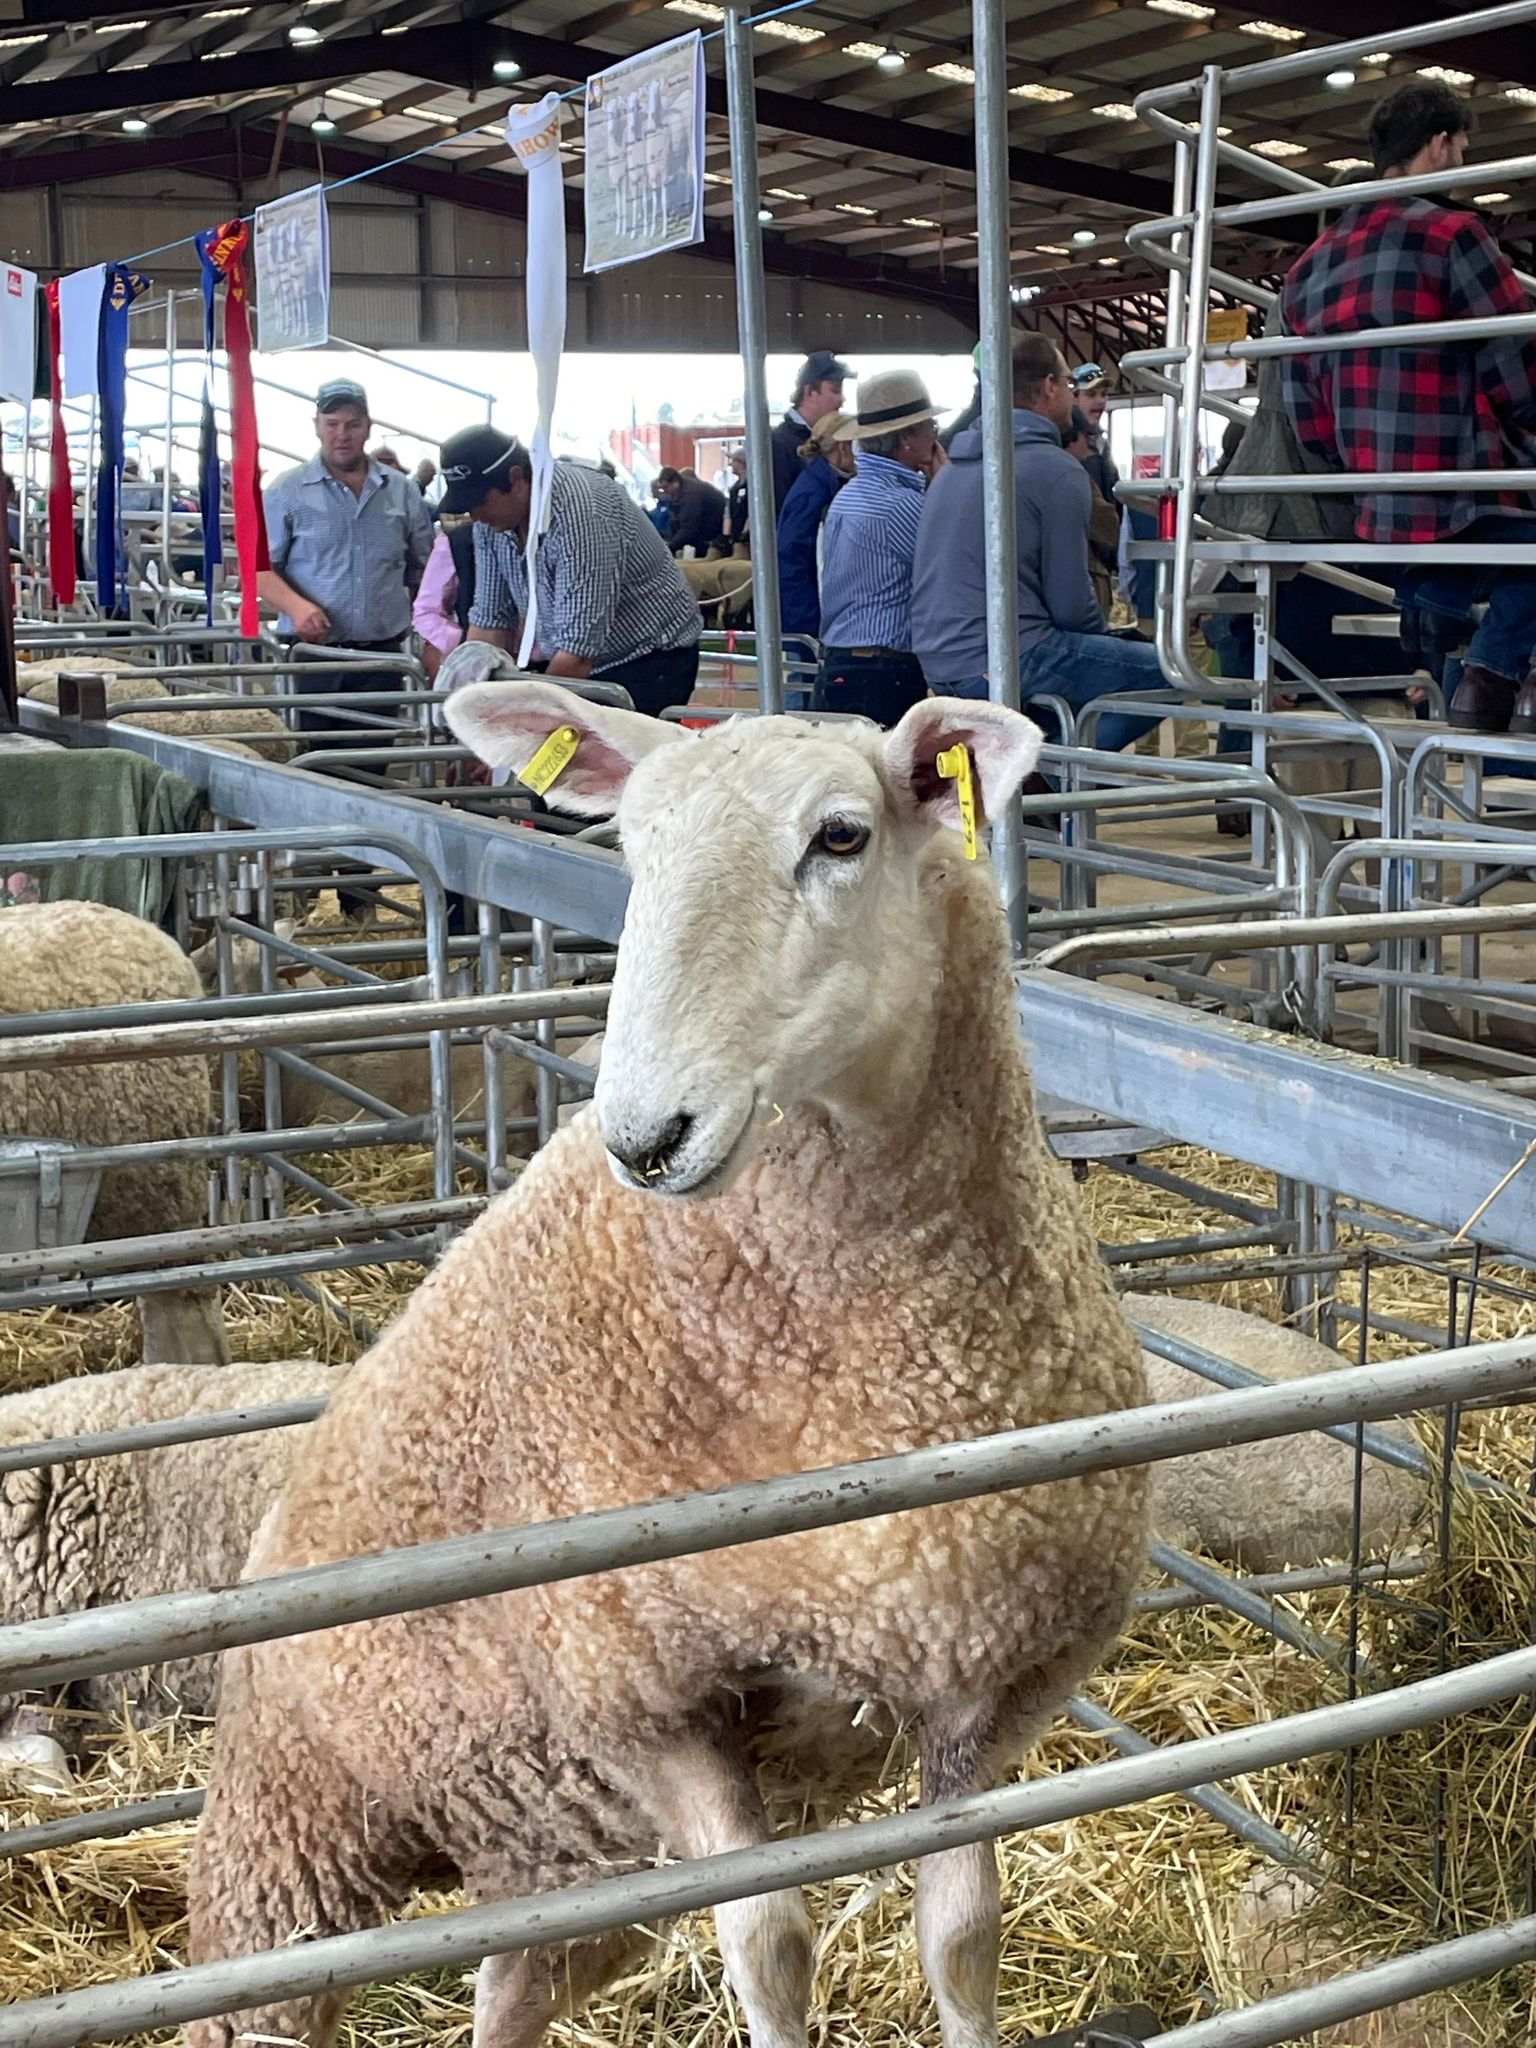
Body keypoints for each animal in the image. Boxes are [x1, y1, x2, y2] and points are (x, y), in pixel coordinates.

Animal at [187, 685, 1150, 2048]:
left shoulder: (984, 1680)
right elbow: (770, 1946)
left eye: (842, 835)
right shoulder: (644, 1697)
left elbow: (963, 1938)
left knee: (511, 1987)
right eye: (635, 850)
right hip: (290, 1829)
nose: (647, 1135)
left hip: (568, 1854)